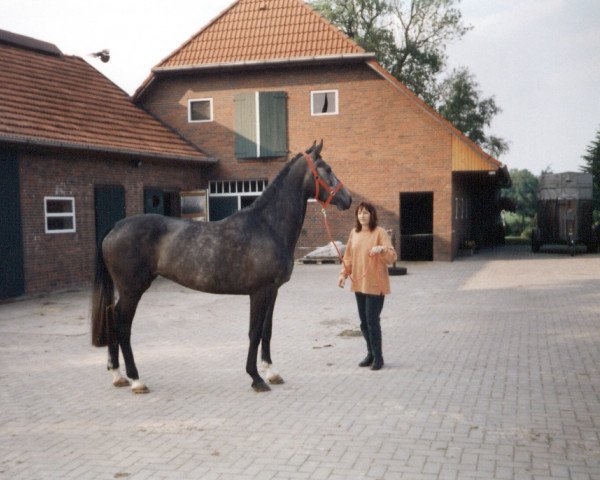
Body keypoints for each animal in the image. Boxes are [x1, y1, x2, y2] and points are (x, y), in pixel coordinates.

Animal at [90, 141, 352, 392]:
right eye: (327, 169)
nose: (348, 199)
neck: (267, 225)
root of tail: (116, 226)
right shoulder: (259, 292)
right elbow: (254, 332)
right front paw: (256, 378)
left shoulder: (273, 291)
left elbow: (267, 330)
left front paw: (271, 372)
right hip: (132, 289)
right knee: (123, 326)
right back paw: (136, 380)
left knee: (112, 318)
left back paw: (117, 375)